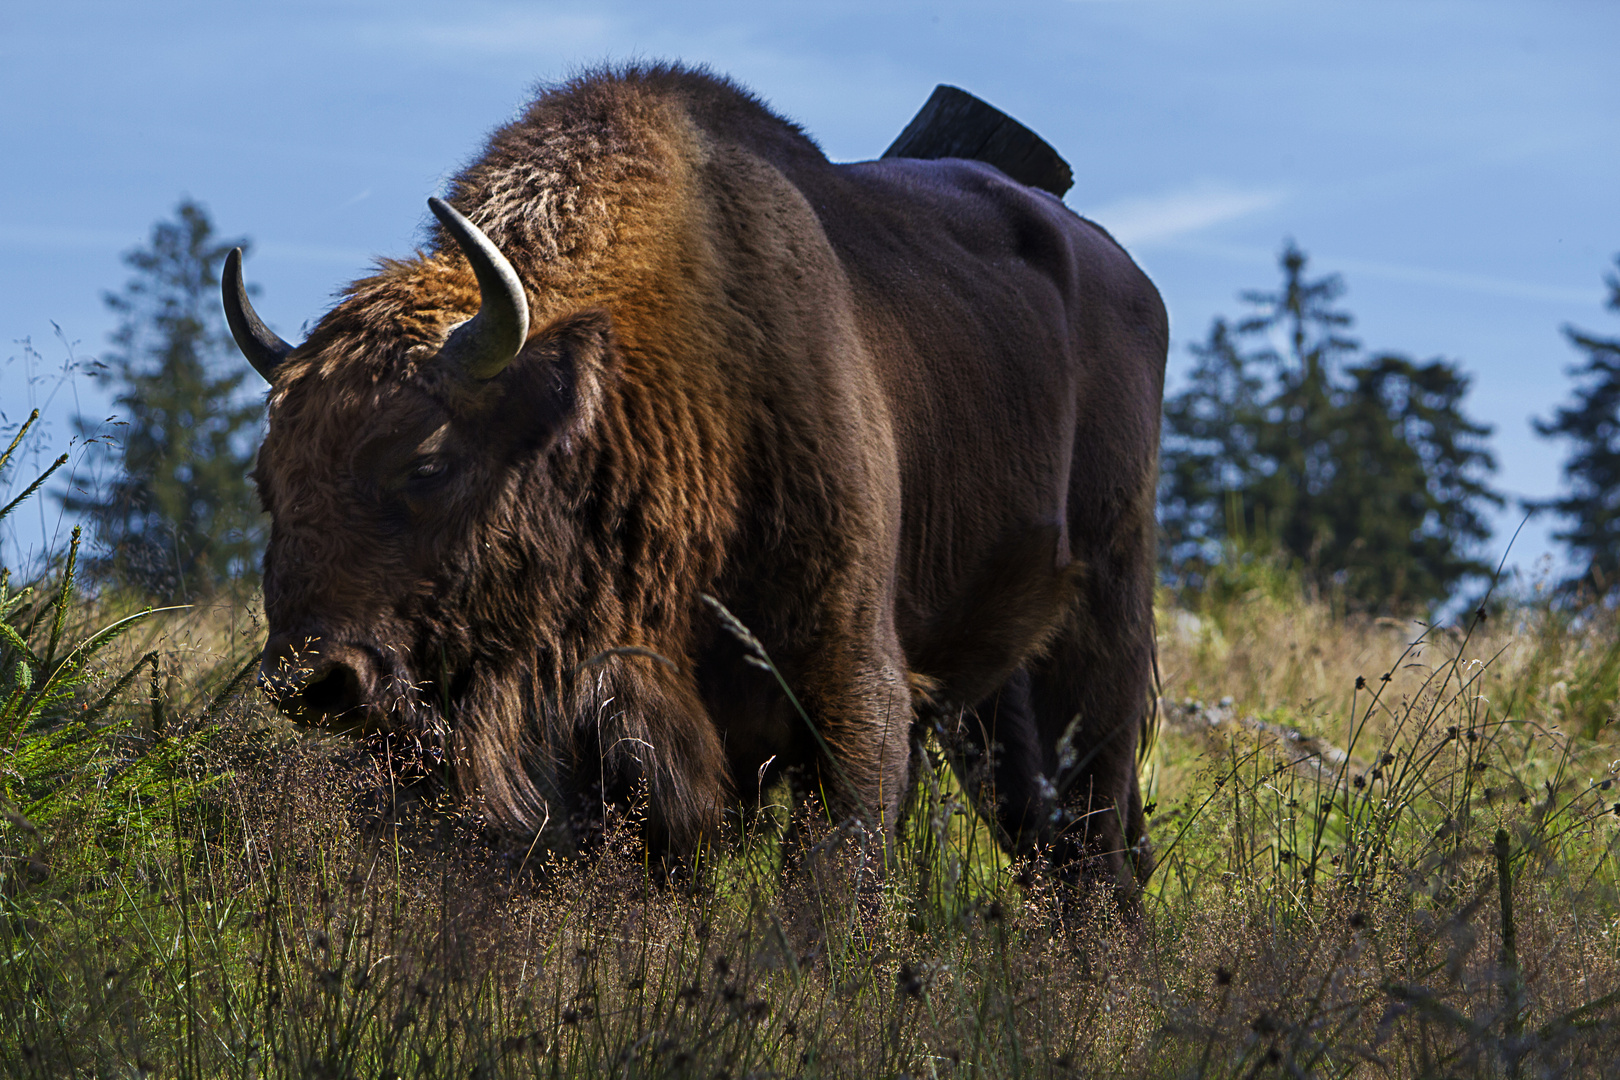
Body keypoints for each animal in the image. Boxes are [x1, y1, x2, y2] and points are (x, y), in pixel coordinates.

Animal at [225, 69, 1166, 893]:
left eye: (427, 462)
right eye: (267, 478)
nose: (313, 679)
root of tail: (1121, 268)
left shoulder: (853, 696)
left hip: (1097, 638)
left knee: (1089, 845)